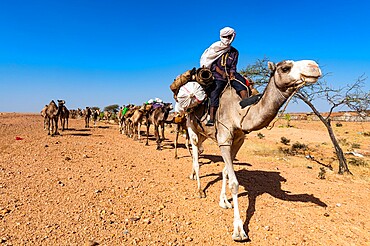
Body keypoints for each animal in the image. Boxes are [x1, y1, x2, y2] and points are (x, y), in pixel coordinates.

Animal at [186, 59, 322, 240]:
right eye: (285, 68)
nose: (314, 66)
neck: (239, 112)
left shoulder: (239, 140)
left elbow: (226, 171)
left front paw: (224, 201)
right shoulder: (224, 139)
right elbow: (234, 183)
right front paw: (239, 230)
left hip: (205, 133)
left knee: (200, 150)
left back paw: (194, 177)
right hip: (190, 124)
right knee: (195, 154)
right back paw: (200, 190)